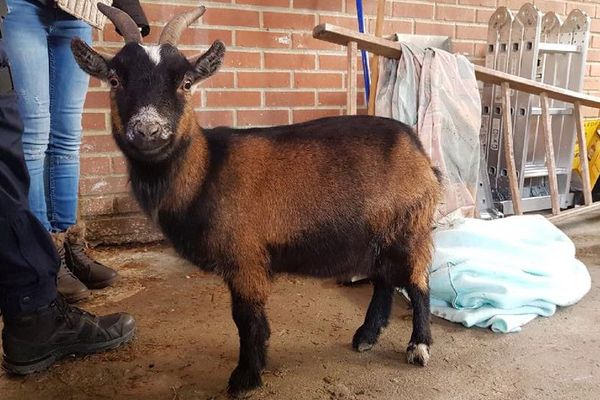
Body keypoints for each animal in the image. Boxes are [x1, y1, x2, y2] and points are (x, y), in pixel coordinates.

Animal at [72, 3, 442, 396]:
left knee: (417, 280)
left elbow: (245, 318)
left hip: (411, 226)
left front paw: (246, 376)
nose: (148, 130)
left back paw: (419, 345)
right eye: (114, 79)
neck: (208, 167)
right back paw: (367, 336)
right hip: (379, 233)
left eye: (186, 82)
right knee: (385, 278)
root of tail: (418, 149)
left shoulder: (246, 257)